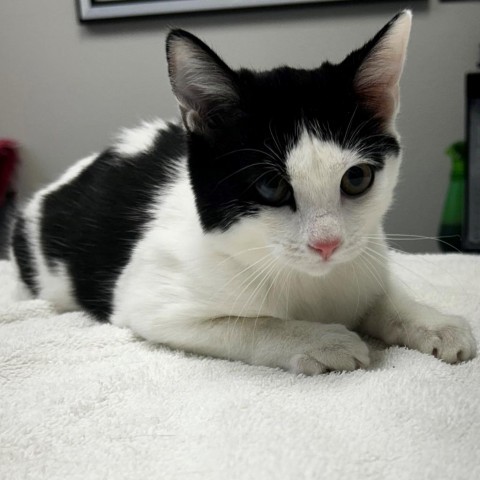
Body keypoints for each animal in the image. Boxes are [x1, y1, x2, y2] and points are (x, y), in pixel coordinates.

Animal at [10, 9, 476, 374]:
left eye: (356, 179)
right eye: (271, 185)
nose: (326, 244)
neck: (311, 283)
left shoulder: (364, 257)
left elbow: (380, 298)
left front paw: (433, 321)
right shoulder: (147, 300)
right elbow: (249, 323)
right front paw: (319, 340)